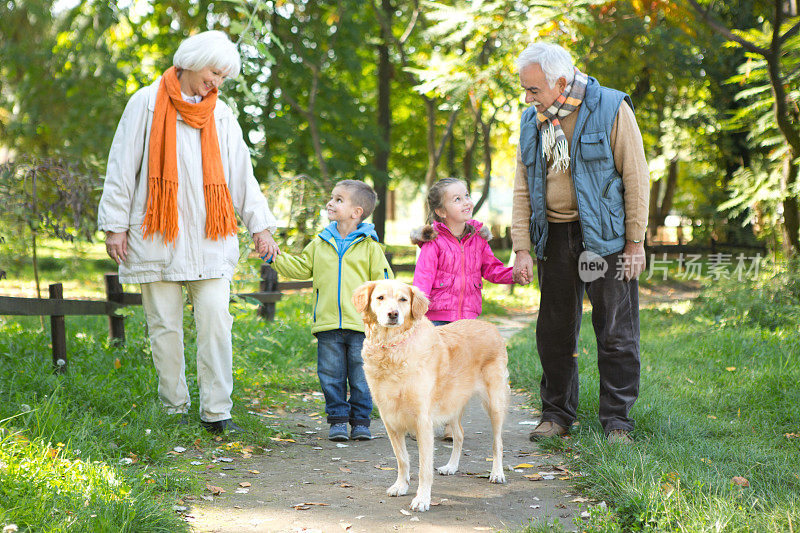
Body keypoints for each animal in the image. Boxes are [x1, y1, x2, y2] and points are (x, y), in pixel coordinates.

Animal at [350, 278, 506, 512]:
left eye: (403, 299)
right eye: (380, 298)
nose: (393, 314)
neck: (392, 350)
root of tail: (491, 326)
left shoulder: (423, 421)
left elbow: (424, 467)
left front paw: (422, 498)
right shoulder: (390, 419)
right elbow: (402, 458)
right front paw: (401, 485)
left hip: (494, 403)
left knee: (497, 442)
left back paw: (497, 473)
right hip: (453, 404)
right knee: (459, 434)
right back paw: (451, 466)